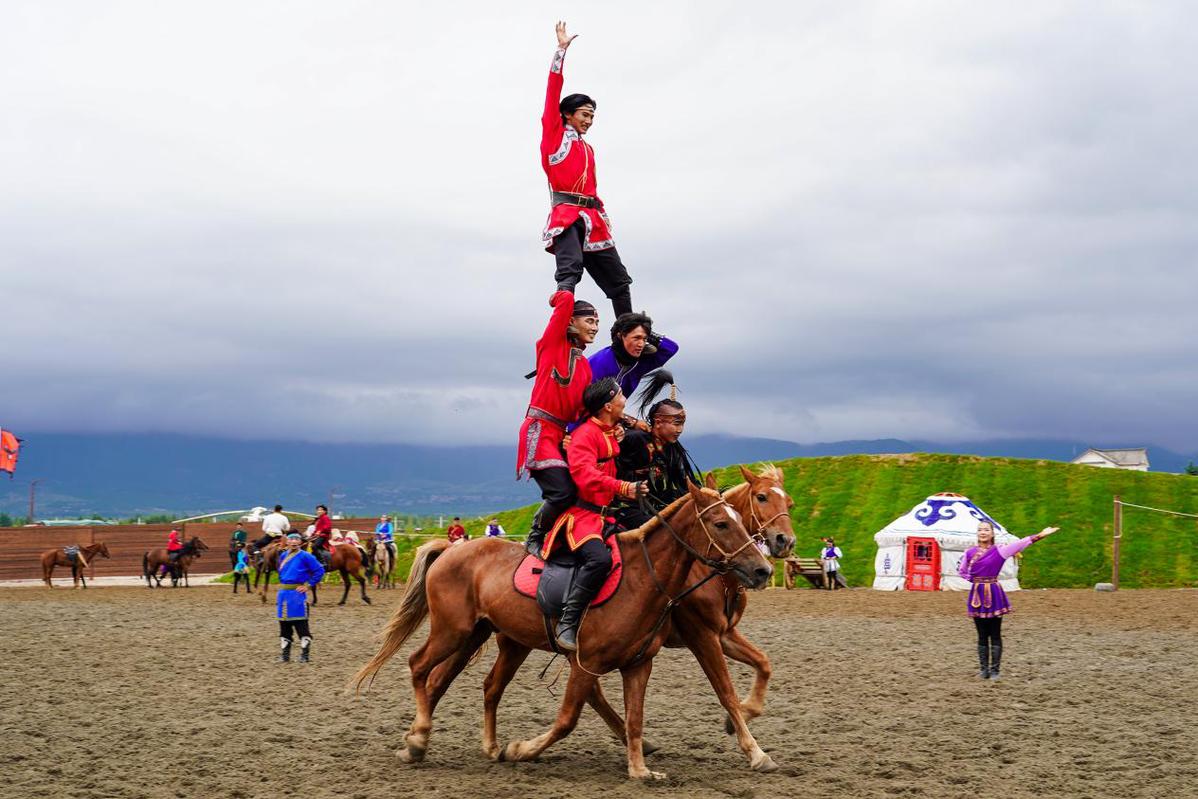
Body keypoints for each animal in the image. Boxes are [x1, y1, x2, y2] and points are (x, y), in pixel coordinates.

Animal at [349, 481, 771, 781]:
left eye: (740, 519)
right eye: (721, 524)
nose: (763, 568)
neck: (641, 578)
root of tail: (451, 549)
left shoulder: (639, 664)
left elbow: (635, 717)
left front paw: (639, 769)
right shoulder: (589, 662)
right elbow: (567, 720)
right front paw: (522, 750)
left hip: (481, 638)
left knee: (464, 683)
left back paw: (450, 744)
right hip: (452, 632)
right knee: (418, 666)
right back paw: (420, 738)